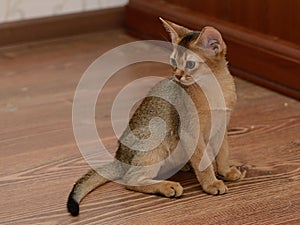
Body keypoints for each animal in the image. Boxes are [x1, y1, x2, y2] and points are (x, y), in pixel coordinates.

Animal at [67, 17, 245, 216]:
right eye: (173, 60)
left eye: (190, 64)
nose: (177, 76)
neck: (214, 87)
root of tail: (119, 159)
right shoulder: (190, 132)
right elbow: (203, 161)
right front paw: (211, 183)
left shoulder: (222, 126)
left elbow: (223, 152)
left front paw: (225, 171)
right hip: (157, 130)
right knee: (130, 180)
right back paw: (168, 186)